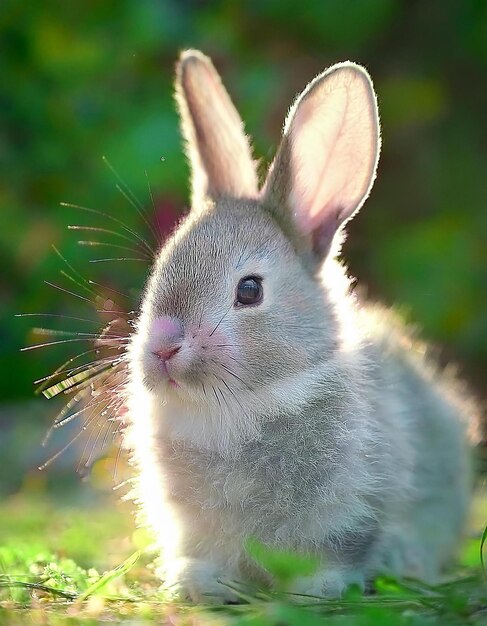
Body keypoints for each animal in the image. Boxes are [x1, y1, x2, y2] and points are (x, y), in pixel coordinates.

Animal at [123, 50, 480, 600]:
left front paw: (316, 590)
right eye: (159, 269)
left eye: (249, 290)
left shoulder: (349, 513)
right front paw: (199, 582)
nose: (162, 348)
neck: (239, 408)